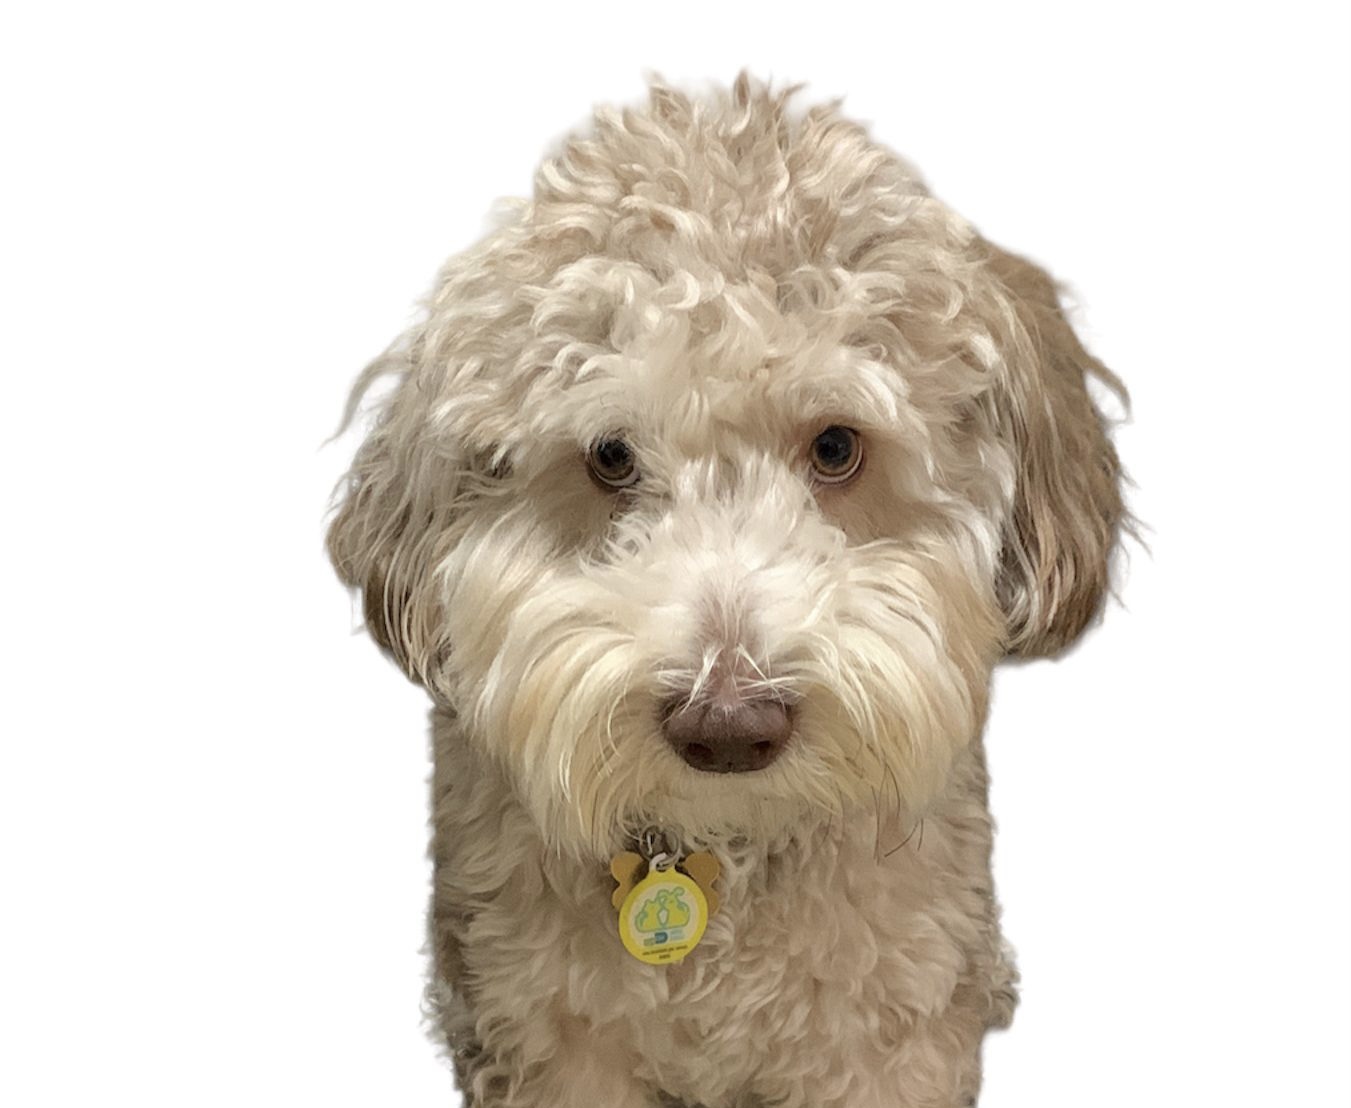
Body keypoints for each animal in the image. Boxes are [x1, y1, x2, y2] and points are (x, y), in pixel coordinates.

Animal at [328, 75, 1125, 1108]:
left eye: (837, 446)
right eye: (610, 456)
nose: (728, 726)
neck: (723, 858)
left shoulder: (888, 1031)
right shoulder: (545, 1034)